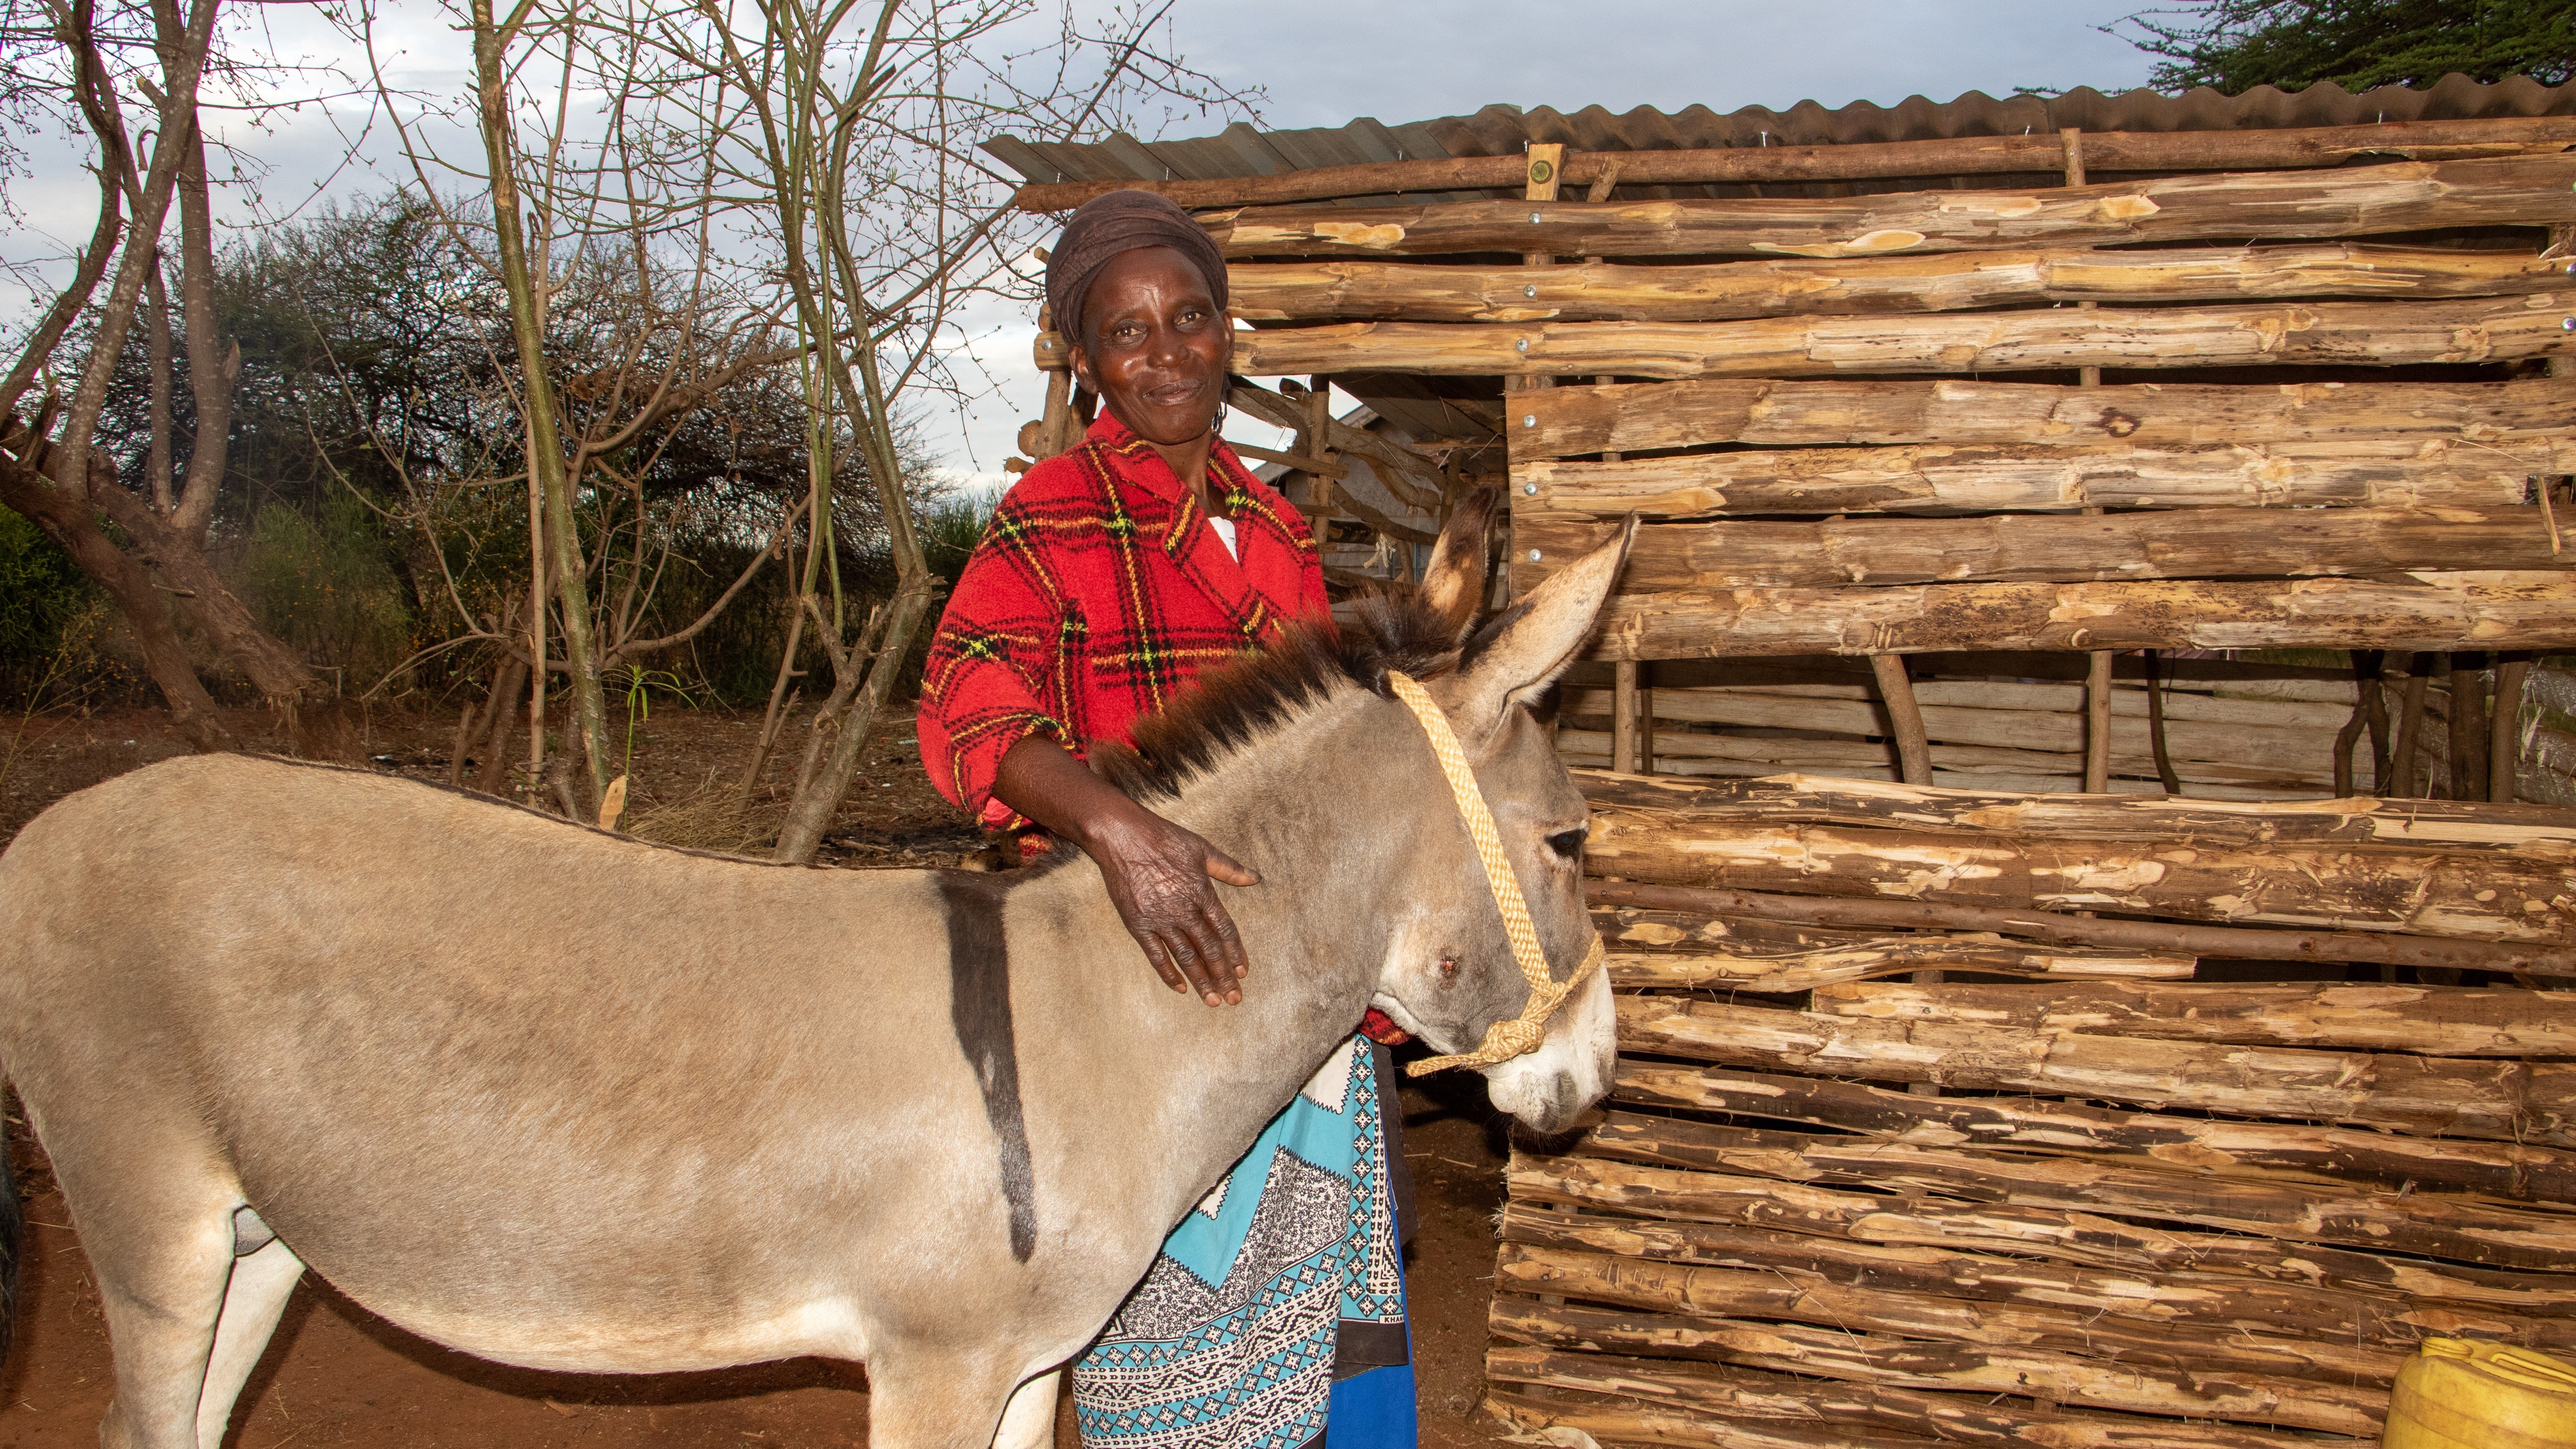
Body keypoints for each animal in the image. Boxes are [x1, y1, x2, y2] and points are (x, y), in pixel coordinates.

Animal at [0, 496, 1630, 1449]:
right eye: (1569, 838)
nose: (1597, 1077)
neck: (1100, 1023)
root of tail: (49, 825)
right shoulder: (932, 1363)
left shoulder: (1027, 1366)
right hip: (149, 1223)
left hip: (263, 1239)